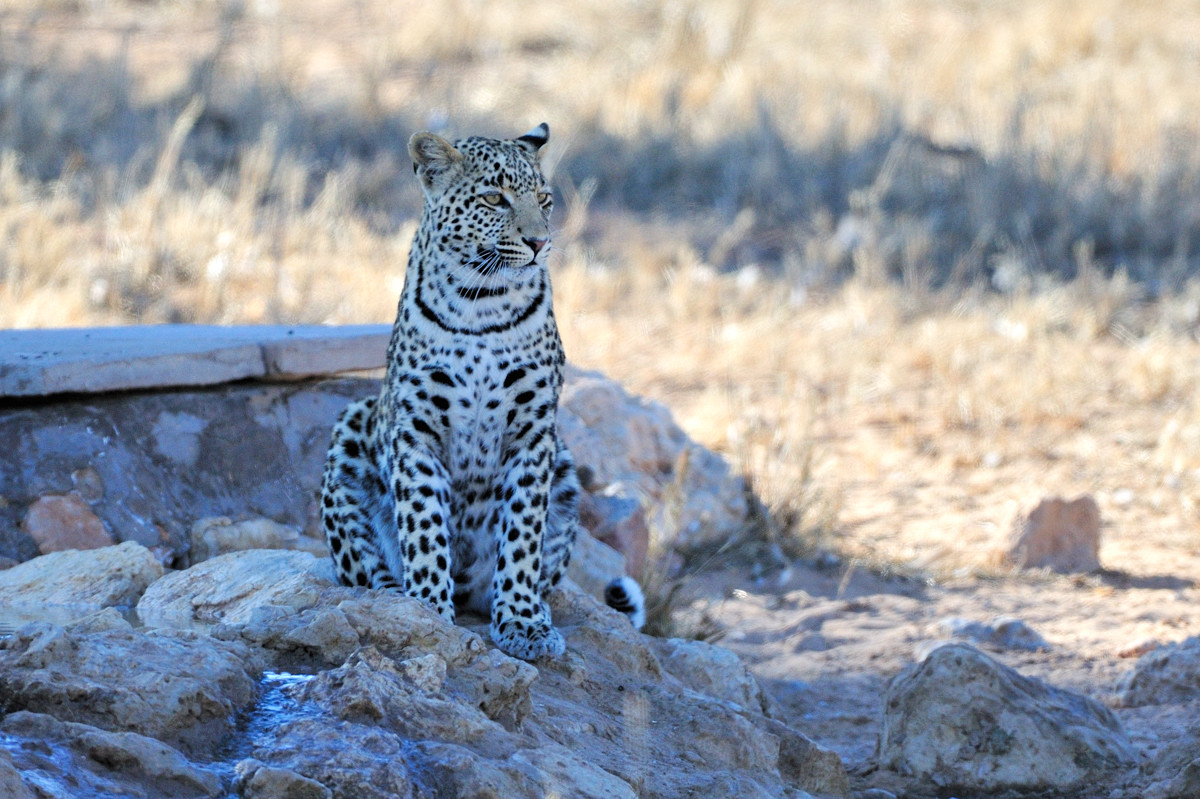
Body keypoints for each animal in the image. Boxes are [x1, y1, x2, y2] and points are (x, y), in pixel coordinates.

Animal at [314, 122, 643, 657]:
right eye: (494, 198)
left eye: (545, 200)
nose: (539, 243)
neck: (481, 302)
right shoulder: (416, 430)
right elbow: (423, 524)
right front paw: (426, 609)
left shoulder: (533, 433)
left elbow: (523, 536)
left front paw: (523, 622)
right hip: (352, 425)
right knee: (364, 571)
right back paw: (392, 599)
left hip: (566, 465)